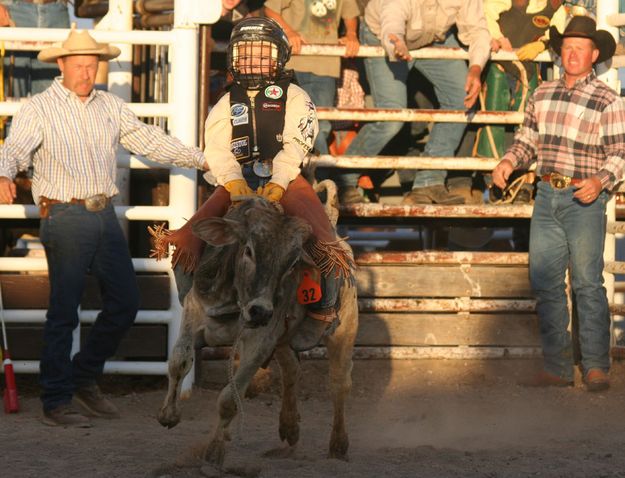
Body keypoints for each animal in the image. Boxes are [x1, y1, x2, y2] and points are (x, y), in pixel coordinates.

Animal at [158, 196, 358, 468]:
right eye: (249, 251)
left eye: (292, 263)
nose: (261, 312)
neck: (236, 302)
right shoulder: (194, 312)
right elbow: (179, 361)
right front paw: (168, 415)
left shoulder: (260, 341)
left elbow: (230, 398)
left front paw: (214, 453)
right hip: (283, 339)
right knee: (291, 371)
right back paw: (289, 427)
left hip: (344, 328)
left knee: (339, 383)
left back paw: (338, 445)